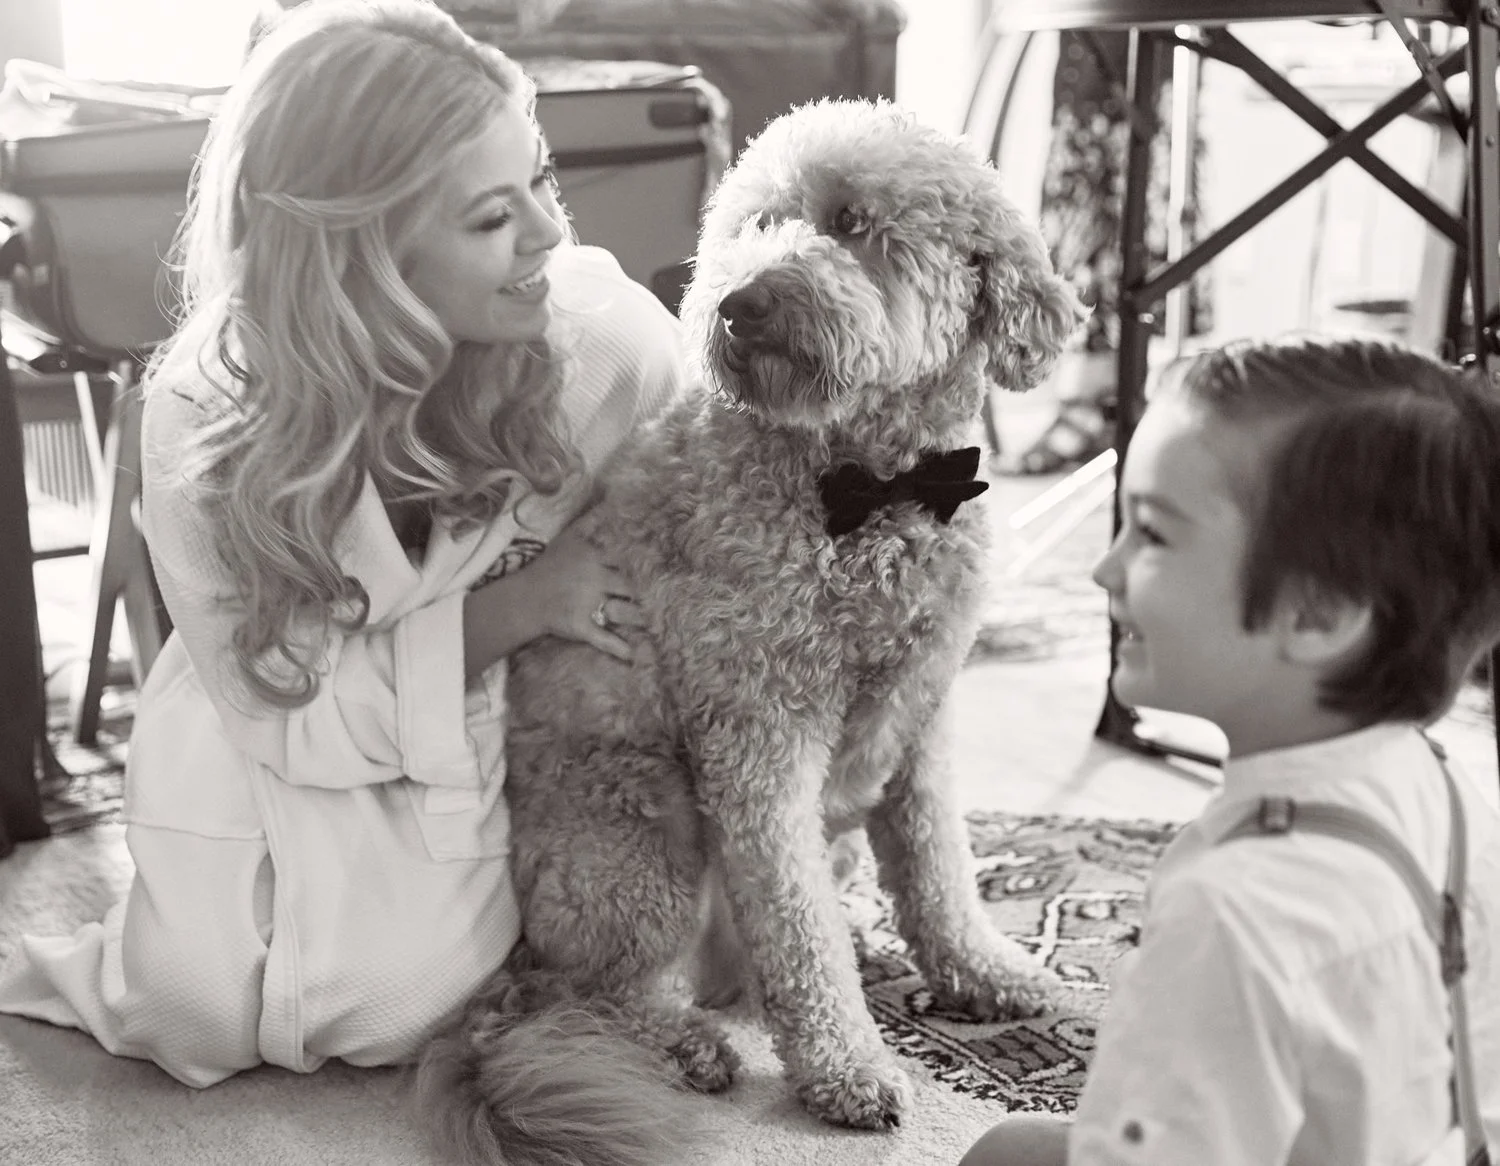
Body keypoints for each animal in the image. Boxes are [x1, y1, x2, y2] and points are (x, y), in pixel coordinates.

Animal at [417, 98, 1088, 1166]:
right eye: (756, 224)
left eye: (852, 223)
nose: (741, 304)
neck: (871, 490)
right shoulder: (760, 733)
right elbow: (799, 926)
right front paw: (847, 1066)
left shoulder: (923, 714)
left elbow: (938, 869)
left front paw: (987, 974)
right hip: (642, 840)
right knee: (585, 994)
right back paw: (682, 1042)